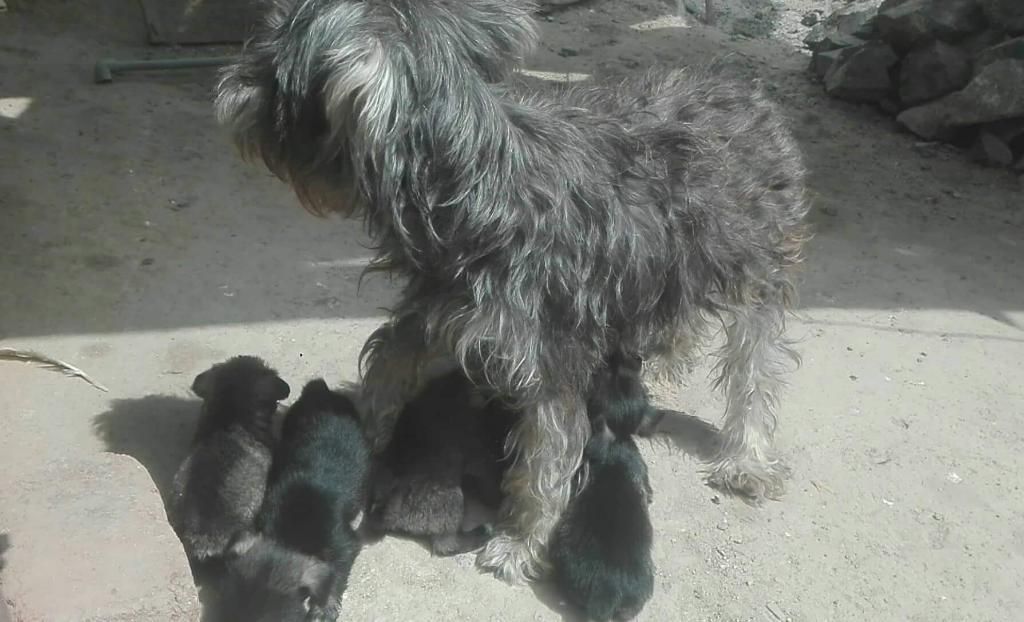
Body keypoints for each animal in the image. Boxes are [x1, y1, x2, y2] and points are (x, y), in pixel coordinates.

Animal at [214, 0, 806, 582]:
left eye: (272, 69)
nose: (230, 87)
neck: (474, 190)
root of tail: (746, 91)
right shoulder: (430, 316)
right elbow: (385, 373)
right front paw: (355, 436)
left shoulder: (550, 366)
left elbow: (543, 464)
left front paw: (520, 541)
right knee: (680, 319)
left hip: (756, 272)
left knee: (756, 370)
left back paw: (746, 458)